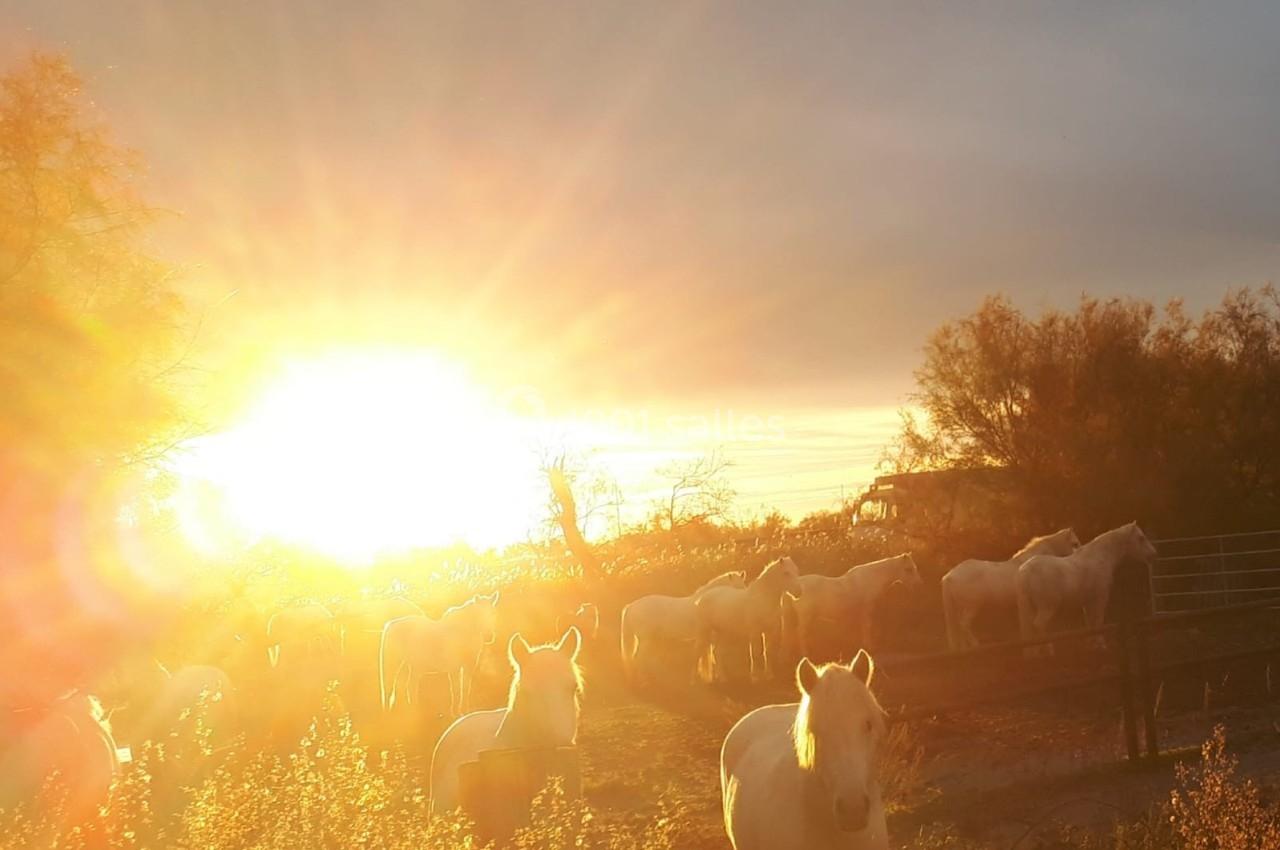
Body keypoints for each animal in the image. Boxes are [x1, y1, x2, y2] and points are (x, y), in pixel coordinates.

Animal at [790, 554, 921, 658]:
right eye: (908, 569)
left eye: (914, 568)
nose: (918, 585)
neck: (870, 579)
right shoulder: (867, 609)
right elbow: (867, 627)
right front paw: (869, 647)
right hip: (806, 616)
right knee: (800, 632)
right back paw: (805, 654)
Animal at [1016, 522, 1158, 652]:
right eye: (1141, 538)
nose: (1153, 555)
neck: (1098, 558)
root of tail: (1025, 571)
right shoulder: (1100, 599)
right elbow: (1098, 621)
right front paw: (1101, 644)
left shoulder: (1087, 602)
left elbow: (1090, 623)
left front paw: (1092, 644)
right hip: (1047, 607)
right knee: (1039, 624)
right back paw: (1049, 649)